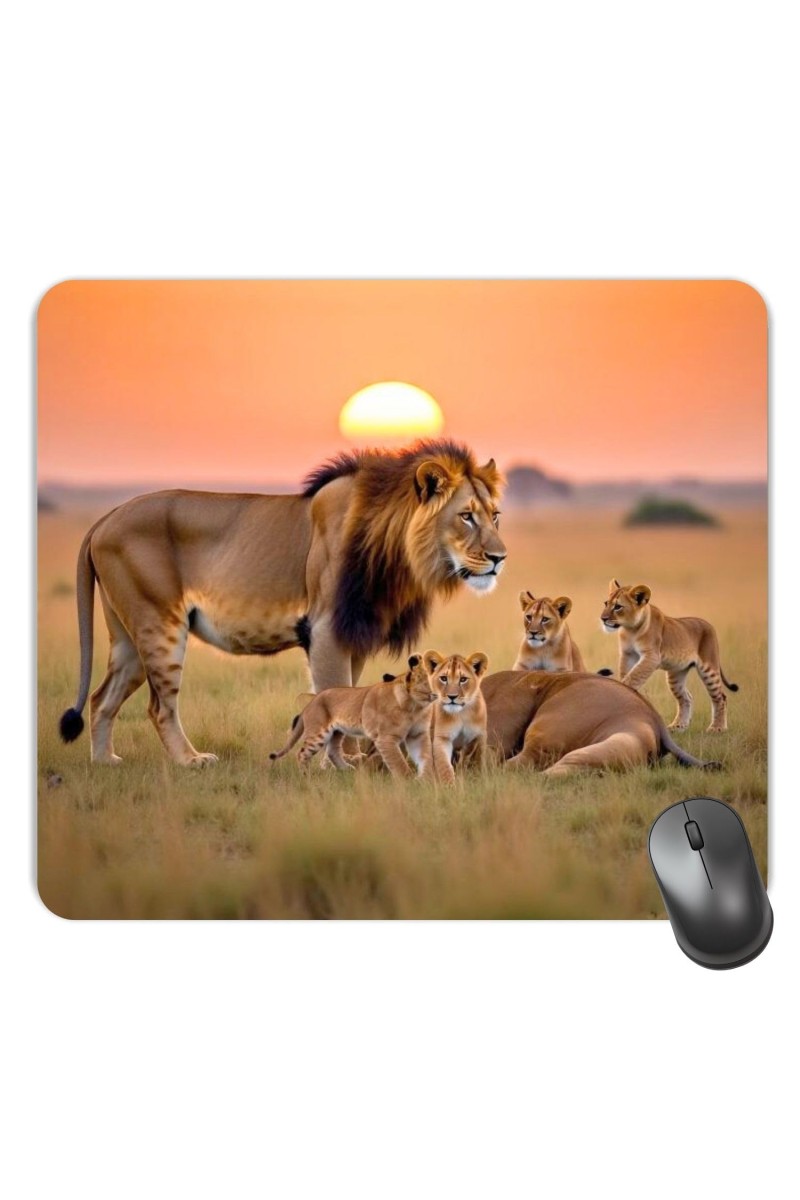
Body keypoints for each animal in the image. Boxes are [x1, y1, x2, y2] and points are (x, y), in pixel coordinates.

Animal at [58, 440, 506, 765]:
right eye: (466, 516)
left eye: (495, 515)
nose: (500, 558)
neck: (398, 553)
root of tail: (106, 517)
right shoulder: (326, 631)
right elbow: (333, 693)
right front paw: (340, 765)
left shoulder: (356, 633)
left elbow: (351, 696)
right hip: (159, 625)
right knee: (158, 707)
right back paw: (191, 761)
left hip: (128, 638)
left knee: (101, 699)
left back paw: (105, 763)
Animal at [269, 654, 437, 778]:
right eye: (426, 685)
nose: (436, 695)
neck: (414, 706)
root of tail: (310, 703)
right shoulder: (385, 737)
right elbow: (398, 762)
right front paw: (408, 780)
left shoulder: (417, 734)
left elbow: (425, 756)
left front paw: (427, 780)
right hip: (318, 733)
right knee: (302, 753)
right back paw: (306, 776)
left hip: (337, 732)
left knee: (333, 751)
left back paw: (347, 770)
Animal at [424, 650, 490, 784]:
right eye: (444, 678)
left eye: (463, 679)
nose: (452, 696)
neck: (461, 714)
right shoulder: (442, 737)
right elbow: (445, 767)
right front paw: (449, 786)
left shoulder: (479, 735)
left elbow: (479, 761)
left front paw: (482, 781)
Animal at [601, 580, 738, 732]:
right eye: (606, 604)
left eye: (618, 607)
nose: (603, 619)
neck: (630, 630)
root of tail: (709, 624)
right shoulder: (628, 655)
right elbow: (626, 674)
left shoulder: (652, 657)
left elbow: (633, 677)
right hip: (676, 674)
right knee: (686, 698)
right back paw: (678, 726)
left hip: (709, 668)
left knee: (721, 697)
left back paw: (717, 728)